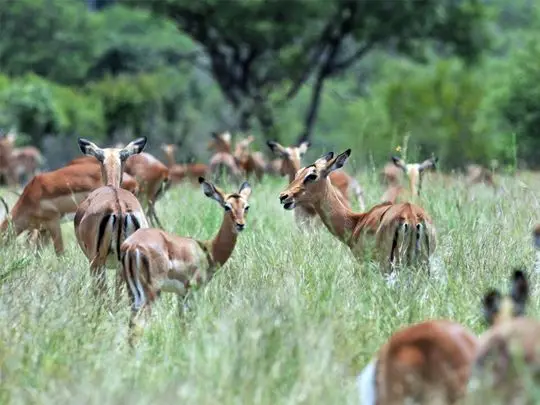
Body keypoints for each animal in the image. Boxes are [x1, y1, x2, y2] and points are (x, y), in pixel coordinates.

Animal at [120, 177, 251, 340]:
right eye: (227, 206)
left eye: (246, 207)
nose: (240, 224)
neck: (207, 250)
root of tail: (132, 245)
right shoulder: (194, 290)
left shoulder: (180, 294)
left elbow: (181, 321)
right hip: (151, 293)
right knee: (138, 327)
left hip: (133, 293)